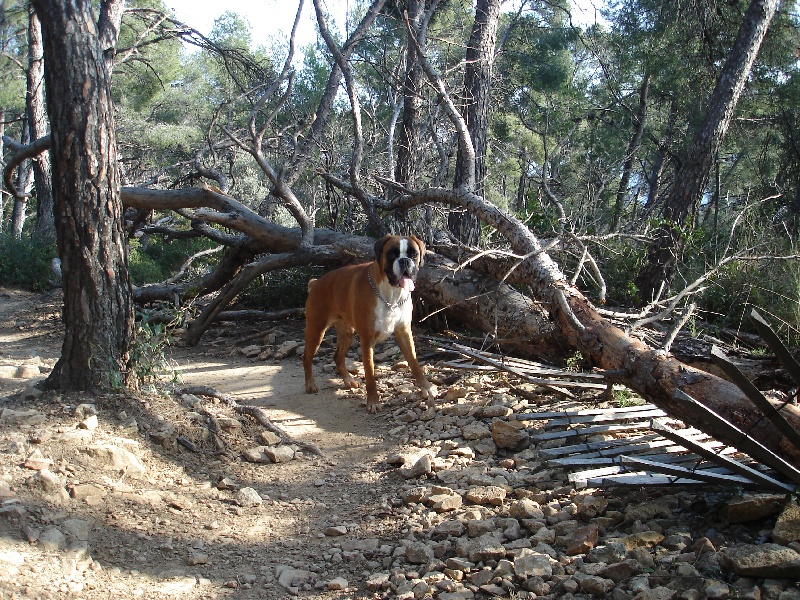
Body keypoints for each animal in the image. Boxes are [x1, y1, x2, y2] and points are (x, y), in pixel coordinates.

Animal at [302, 234, 438, 412]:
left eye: (413, 254)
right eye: (392, 254)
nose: (404, 261)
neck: (391, 295)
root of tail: (316, 283)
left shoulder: (404, 333)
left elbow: (414, 363)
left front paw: (426, 387)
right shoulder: (367, 340)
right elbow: (370, 373)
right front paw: (373, 401)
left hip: (347, 334)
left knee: (337, 356)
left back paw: (348, 380)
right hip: (316, 330)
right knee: (307, 357)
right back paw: (310, 384)